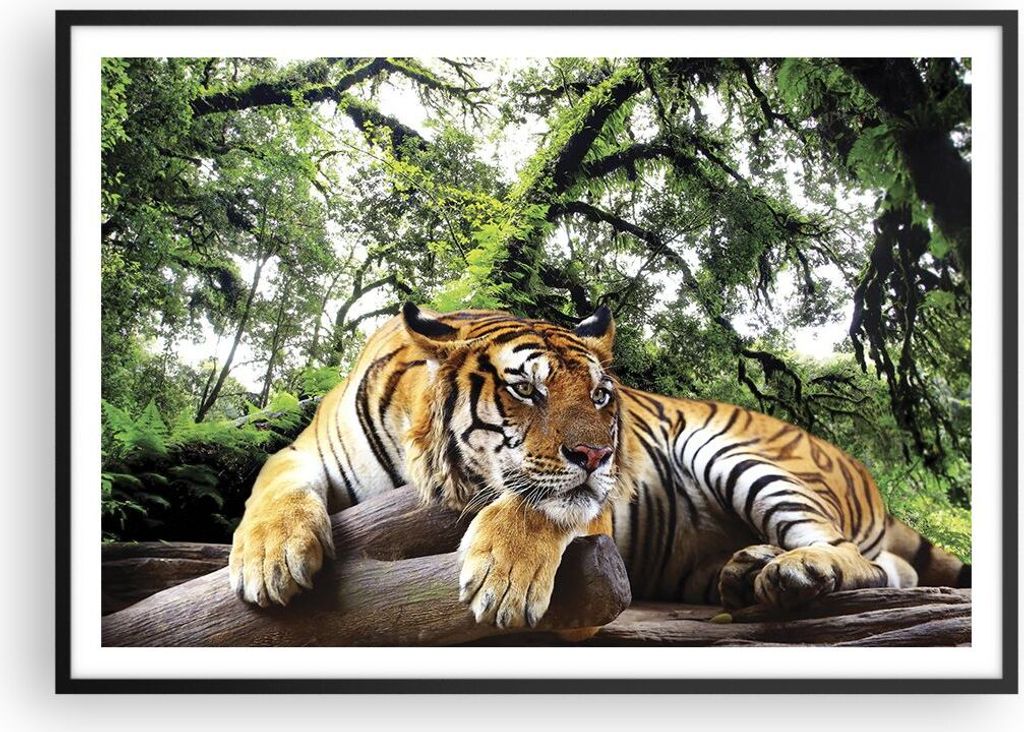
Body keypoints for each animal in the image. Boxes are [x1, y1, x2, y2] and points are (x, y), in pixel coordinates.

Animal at [228, 303, 970, 630]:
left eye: (601, 396)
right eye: (525, 389)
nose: (599, 454)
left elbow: (543, 503)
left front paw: (502, 580)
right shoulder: (303, 452)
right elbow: (272, 483)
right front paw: (270, 559)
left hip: (739, 454)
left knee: (859, 558)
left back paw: (793, 572)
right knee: (890, 567)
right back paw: (749, 568)